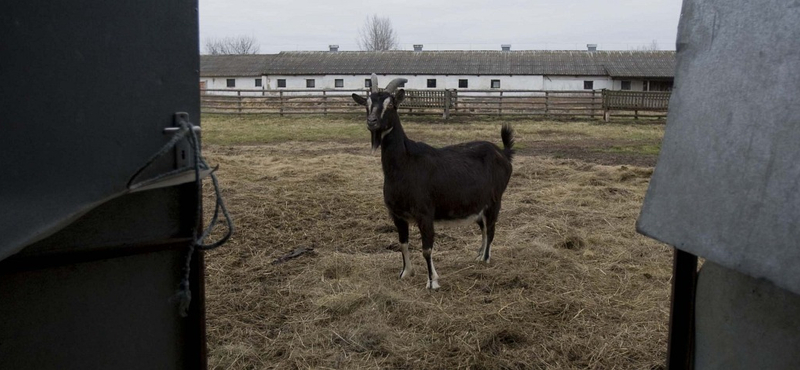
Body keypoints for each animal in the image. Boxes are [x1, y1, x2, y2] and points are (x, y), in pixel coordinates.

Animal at [354, 74, 516, 290]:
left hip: (495, 200)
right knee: (483, 227)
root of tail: (503, 153)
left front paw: (432, 282)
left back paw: (486, 259)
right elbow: (403, 244)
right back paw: (478, 255)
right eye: (367, 104)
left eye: (391, 105)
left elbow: (427, 249)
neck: (405, 164)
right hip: (478, 204)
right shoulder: (397, 214)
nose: (372, 122)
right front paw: (405, 273)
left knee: (491, 228)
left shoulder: (425, 214)